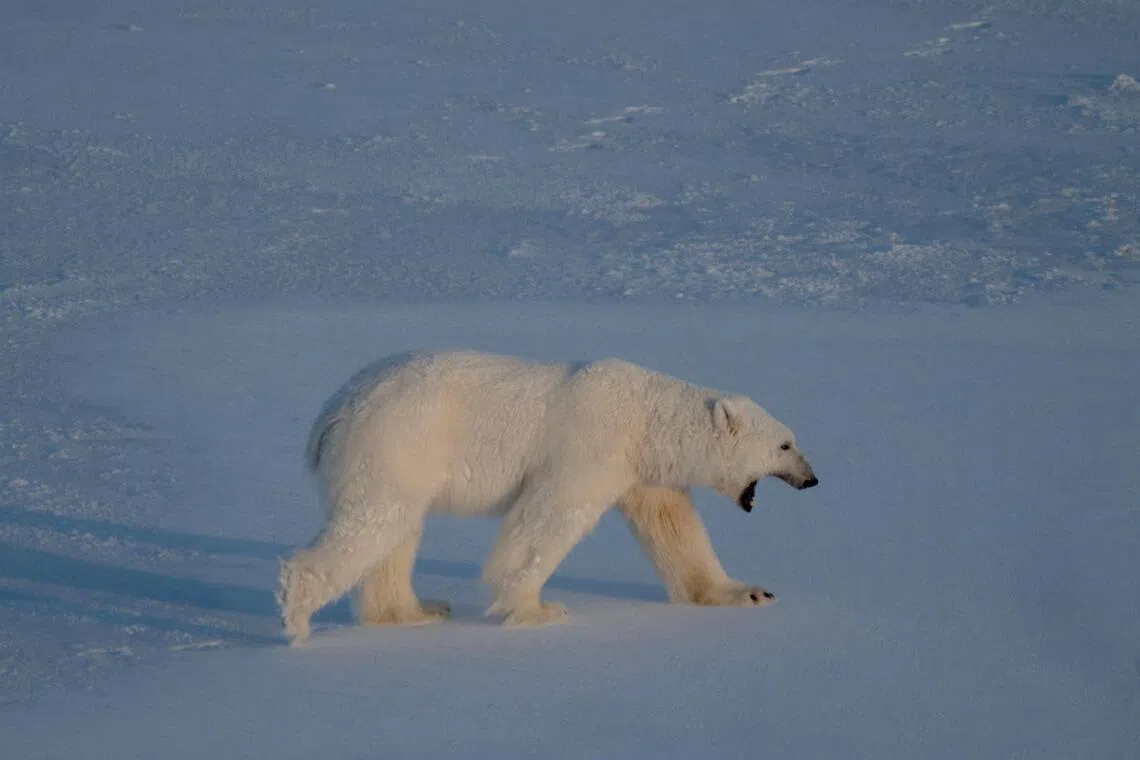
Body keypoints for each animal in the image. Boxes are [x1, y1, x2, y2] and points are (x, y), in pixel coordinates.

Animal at [277, 350, 818, 644]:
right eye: (785, 445)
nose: (812, 479)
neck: (645, 417)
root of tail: (332, 410)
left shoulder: (643, 471)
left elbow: (674, 528)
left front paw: (749, 593)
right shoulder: (591, 444)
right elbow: (549, 517)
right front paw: (539, 609)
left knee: (396, 532)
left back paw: (415, 610)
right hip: (397, 441)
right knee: (374, 520)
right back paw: (298, 615)